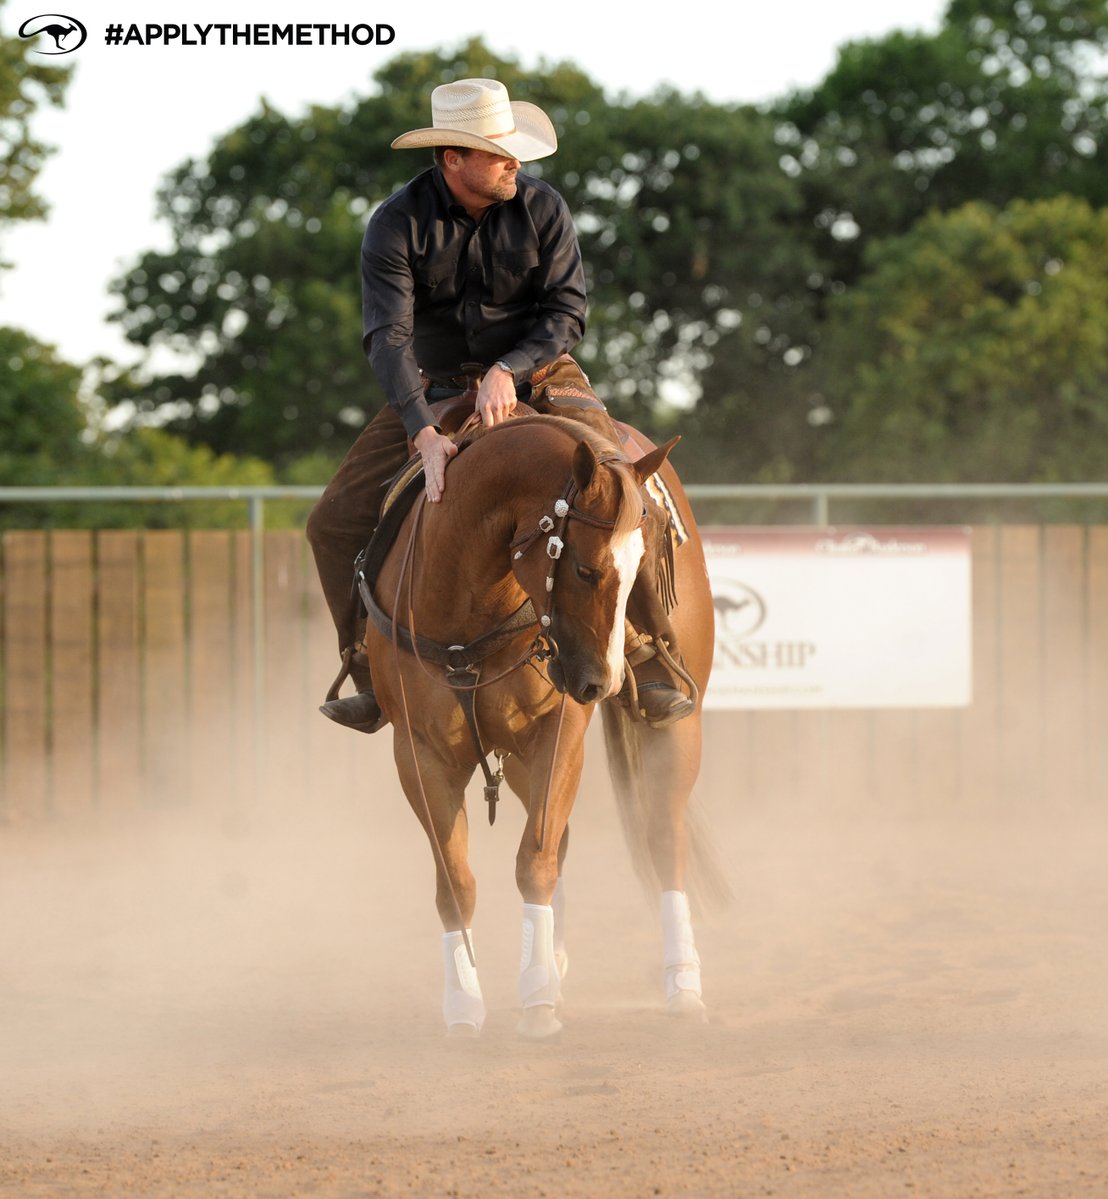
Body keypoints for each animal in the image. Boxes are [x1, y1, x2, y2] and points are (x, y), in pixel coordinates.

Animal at [360, 411, 718, 1038]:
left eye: (640, 567)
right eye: (584, 567)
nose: (603, 683)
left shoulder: (557, 734)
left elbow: (535, 862)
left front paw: (537, 998)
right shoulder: (420, 753)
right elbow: (456, 881)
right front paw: (465, 1003)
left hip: (674, 728)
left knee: (662, 837)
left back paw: (682, 983)